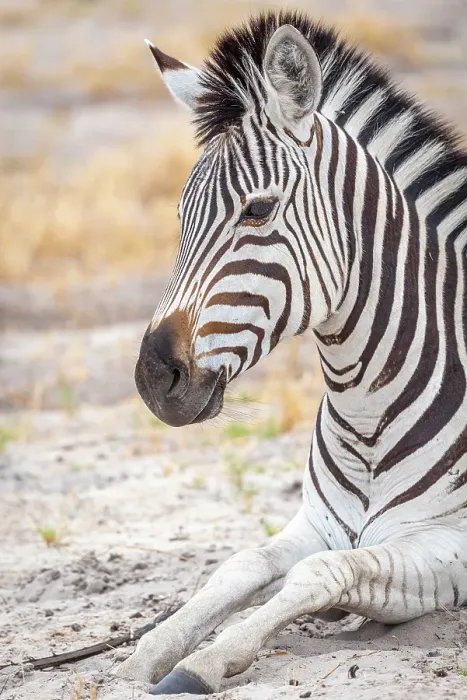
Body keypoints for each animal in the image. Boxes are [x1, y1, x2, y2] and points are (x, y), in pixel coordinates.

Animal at [115, 10, 467, 696]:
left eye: (257, 210)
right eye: (181, 215)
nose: (152, 377)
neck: (366, 405)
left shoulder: (450, 546)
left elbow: (326, 572)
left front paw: (204, 663)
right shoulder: (316, 524)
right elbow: (240, 565)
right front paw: (144, 657)